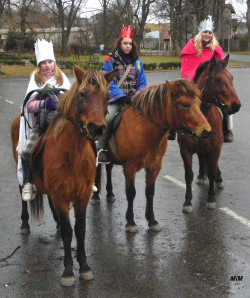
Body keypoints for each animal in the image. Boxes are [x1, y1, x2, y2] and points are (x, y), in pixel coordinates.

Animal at [10, 67, 114, 286]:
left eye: (107, 97)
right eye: (82, 94)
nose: (97, 128)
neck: (72, 153)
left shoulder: (82, 195)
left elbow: (80, 229)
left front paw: (84, 268)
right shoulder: (60, 194)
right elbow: (68, 232)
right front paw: (67, 271)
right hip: (20, 167)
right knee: (22, 192)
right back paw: (25, 223)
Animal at [91, 78, 212, 233]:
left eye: (198, 103)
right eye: (185, 105)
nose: (206, 131)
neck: (143, 129)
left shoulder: (154, 166)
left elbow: (150, 192)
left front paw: (152, 220)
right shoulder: (130, 167)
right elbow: (131, 193)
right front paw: (130, 222)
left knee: (108, 168)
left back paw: (110, 193)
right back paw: (95, 196)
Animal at [177, 53, 241, 212]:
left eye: (231, 78)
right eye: (217, 79)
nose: (236, 105)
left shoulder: (215, 148)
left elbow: (212, 171)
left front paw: (211, 199)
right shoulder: (185, 150)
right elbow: (188, 174)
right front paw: (187, 201)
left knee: (214, 165)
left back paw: (218, 179)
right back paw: (201, 176)